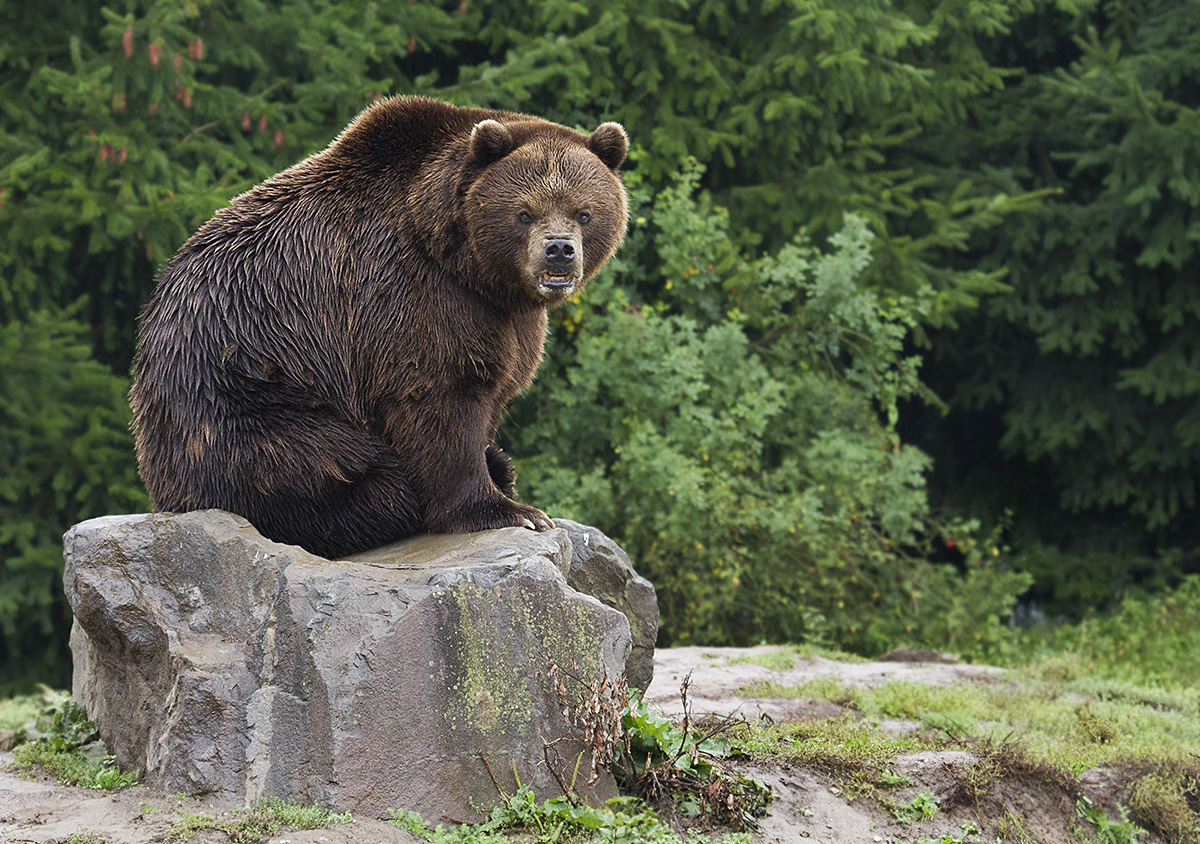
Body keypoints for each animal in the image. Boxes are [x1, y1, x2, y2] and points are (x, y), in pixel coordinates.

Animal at [132, 96, 633, 561]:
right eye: (524, 212)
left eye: (583, 212)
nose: (559, 250)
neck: (462, 261)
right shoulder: (407, 293)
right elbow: (437, 394)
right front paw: (509, 510)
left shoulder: (503, 317)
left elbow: (495, 383)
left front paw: (499, 471)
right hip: (241, 395)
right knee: (320, 463)